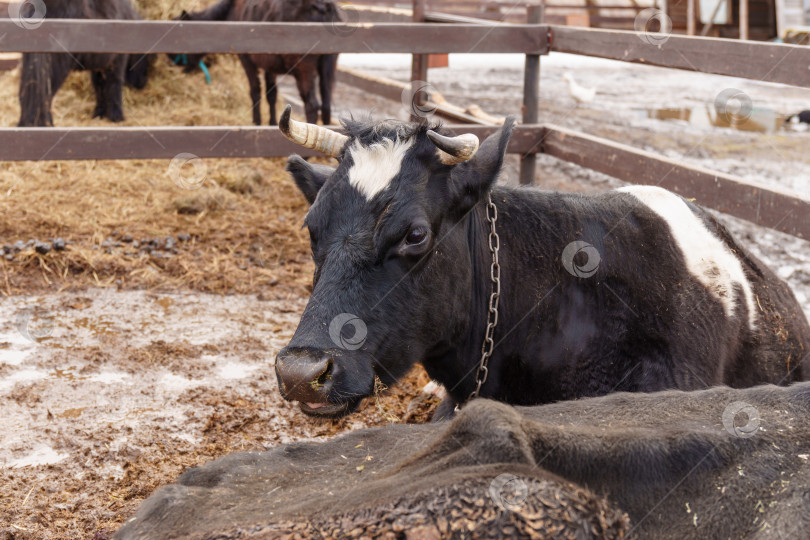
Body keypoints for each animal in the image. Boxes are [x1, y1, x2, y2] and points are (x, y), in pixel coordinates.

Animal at [17, 0, 153, 126]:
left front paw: (100, 114)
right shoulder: (117, 61)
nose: (141, 84)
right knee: (45, 95)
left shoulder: (99, 65)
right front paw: (116, 117)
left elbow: (100, 87)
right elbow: (114, 85)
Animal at [175, 0, 340, 124]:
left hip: (303, 69)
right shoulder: (270, 66)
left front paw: (257, 122)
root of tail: (323, 6)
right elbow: (271, 95)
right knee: (326, 106)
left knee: (312, 105)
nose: (173, 67)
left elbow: (255, 92)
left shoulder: (247, 61)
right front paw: (272, 123)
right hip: (328, 67)